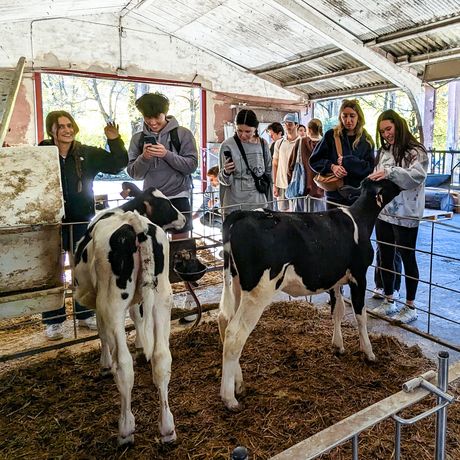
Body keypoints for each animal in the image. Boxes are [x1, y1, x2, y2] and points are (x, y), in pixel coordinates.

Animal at [73, 188, 185, 446]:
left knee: (124, 366)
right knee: (162, 358)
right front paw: (142, 345)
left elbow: (103, 334)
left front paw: (105, 364)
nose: (184, 218)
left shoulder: (100, 303)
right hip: (163, 297)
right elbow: (138, 316)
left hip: (112, 302)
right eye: (166, 204)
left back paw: (125, 429)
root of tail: (134, 223)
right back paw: (167, 428)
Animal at [217, 179, 400, 410]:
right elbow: (361, 316)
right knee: (235, 334)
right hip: (258, 292)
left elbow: (337, 311)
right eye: (388, 182)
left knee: (225, 321)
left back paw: (238, 384)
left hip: (236, 284)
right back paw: (229, 398)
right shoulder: (359, 276)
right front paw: (369, 352)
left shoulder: (334, 279)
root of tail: (242, 214)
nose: (400, 185)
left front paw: (338, 346)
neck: (360, 219)